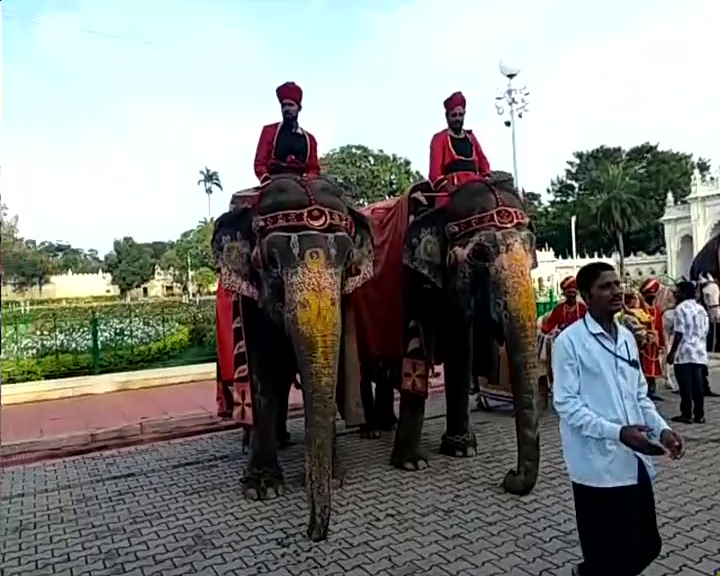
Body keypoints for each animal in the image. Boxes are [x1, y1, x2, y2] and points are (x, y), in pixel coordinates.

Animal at [211, 174, 374, 540]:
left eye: (347, 263)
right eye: (271, 265)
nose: (314, 532)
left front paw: (333, 477)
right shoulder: (251, 303)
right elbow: (262, 379)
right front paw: (262, 489)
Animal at [352, 171, 544, 496]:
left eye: (532, 251)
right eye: (479, 254)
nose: (510, 477)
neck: (440, 206)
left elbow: (461, 354)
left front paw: (462, 450)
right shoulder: (412, 281)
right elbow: (414, 358)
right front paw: (412, 464)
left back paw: (387, 424)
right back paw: (371, 431)